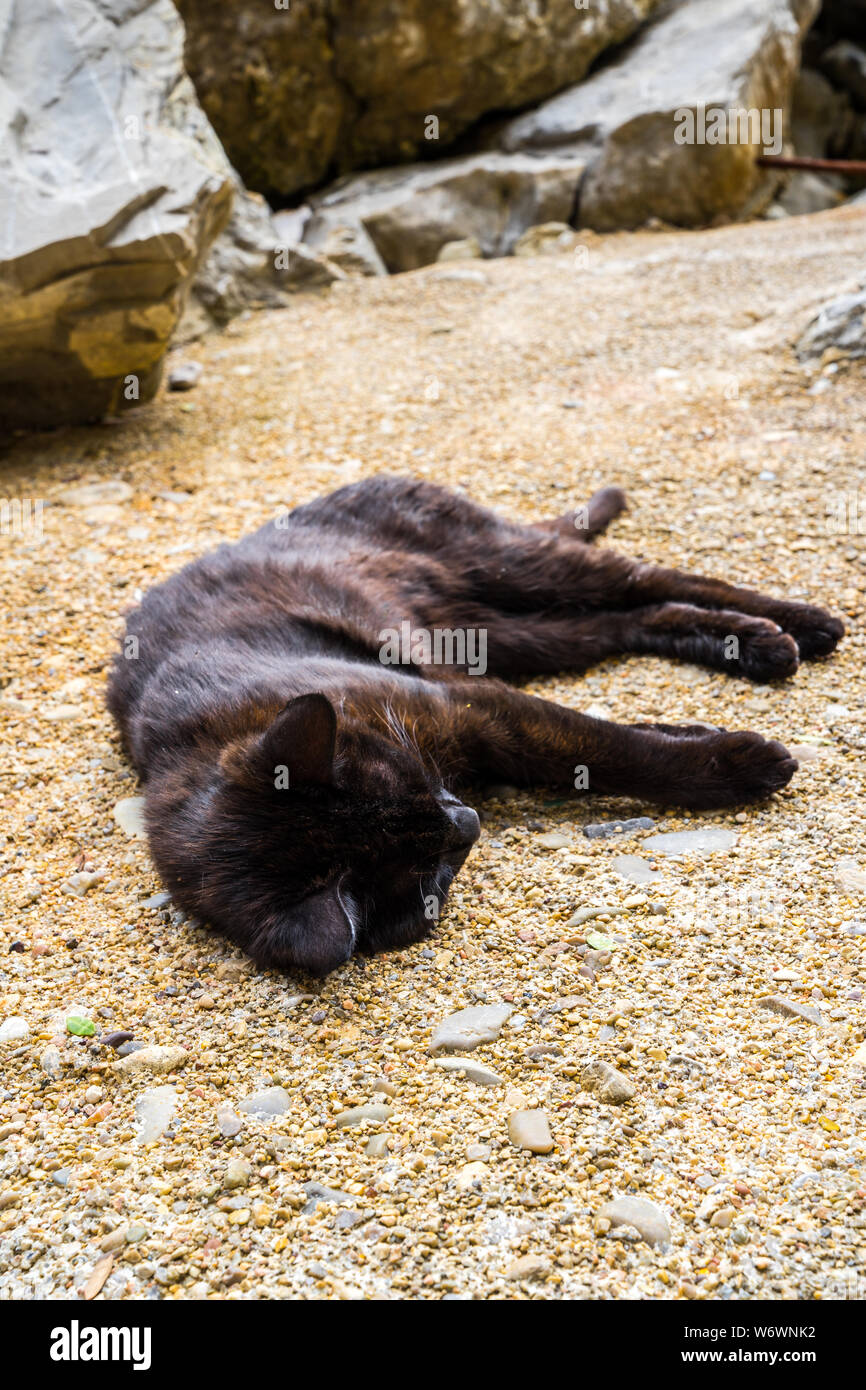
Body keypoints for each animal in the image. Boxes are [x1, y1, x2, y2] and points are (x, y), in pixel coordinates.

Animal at [104, 478, 845, 978]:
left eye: (402, 780)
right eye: (427, 870)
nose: (467, 820)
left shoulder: (470, 708)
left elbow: (607, 748)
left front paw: (746, 764)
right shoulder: (478, 704)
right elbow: (596, 742)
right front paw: (703, 733)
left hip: (511, 567)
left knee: (650, 579)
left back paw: (801, 626)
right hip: (513, 634)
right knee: (634, 619)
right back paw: (756, 646)